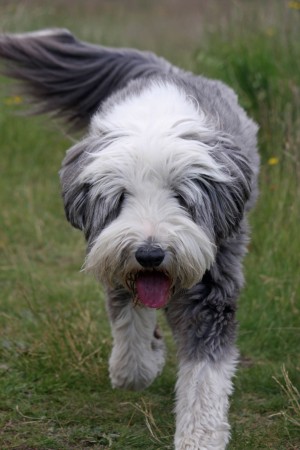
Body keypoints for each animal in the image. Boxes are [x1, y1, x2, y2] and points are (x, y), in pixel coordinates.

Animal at [0, 29, 258, 450]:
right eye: (121, 198)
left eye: (181, 197)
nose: (151, 254)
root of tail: (165, 68)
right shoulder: (113, 255)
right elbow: (129, 323)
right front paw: (141, 362)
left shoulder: (212, 281)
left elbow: (206, 369)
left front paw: (200, 436)